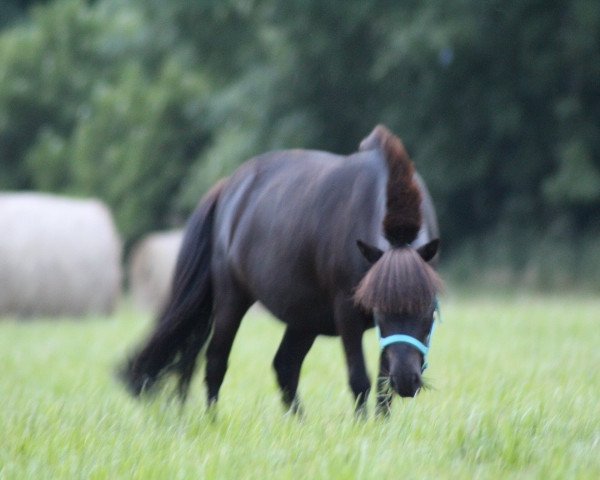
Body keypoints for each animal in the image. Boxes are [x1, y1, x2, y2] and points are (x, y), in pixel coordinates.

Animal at [120, 125, 440, 414]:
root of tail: (228, 188)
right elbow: (359, 380)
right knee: (216, 362)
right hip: (232, 300)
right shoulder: (347, 315)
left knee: (285, 365)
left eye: (428, 312)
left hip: (305, 318)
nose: (407, 381)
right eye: (381, 313)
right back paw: (212, 421)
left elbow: (383, 389)